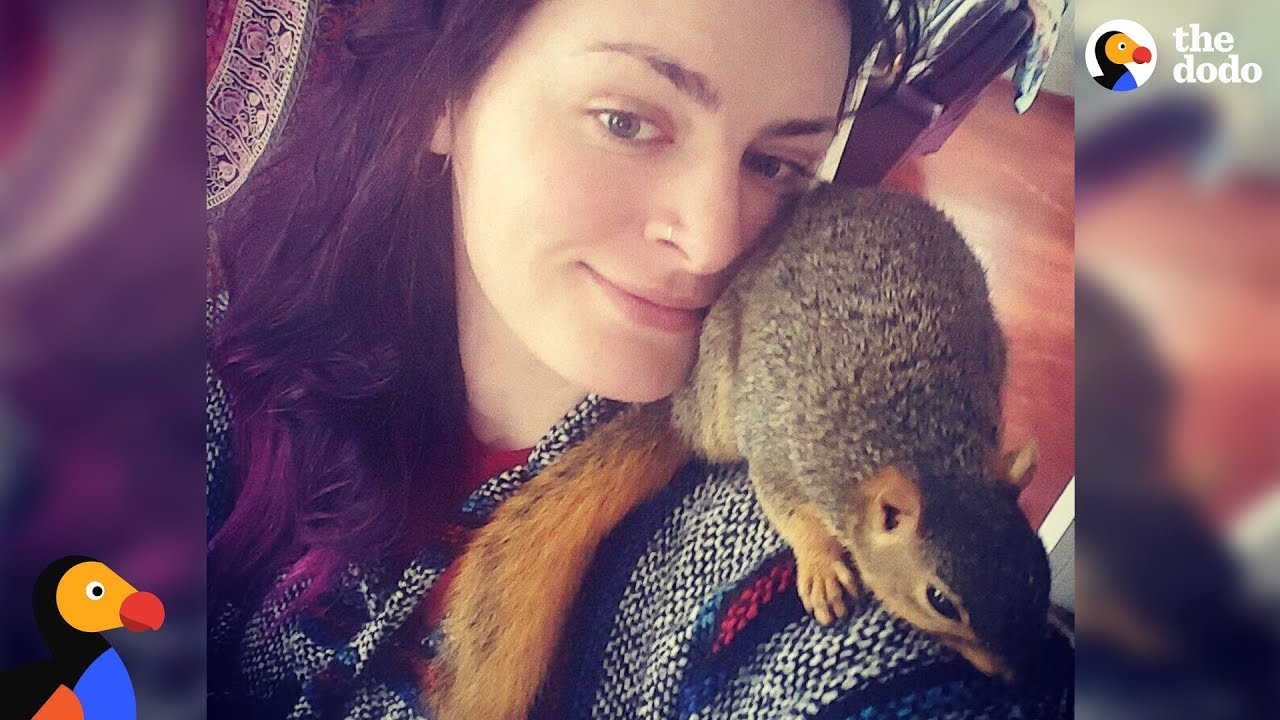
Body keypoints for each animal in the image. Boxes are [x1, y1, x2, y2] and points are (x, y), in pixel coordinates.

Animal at [429, 184, 1052, 720]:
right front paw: (820, 565)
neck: (924, 440)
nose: (1020, 675)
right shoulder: (777, 440)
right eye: (939, 600)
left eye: (1040, 572)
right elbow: (784, 506)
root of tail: (686, 409)